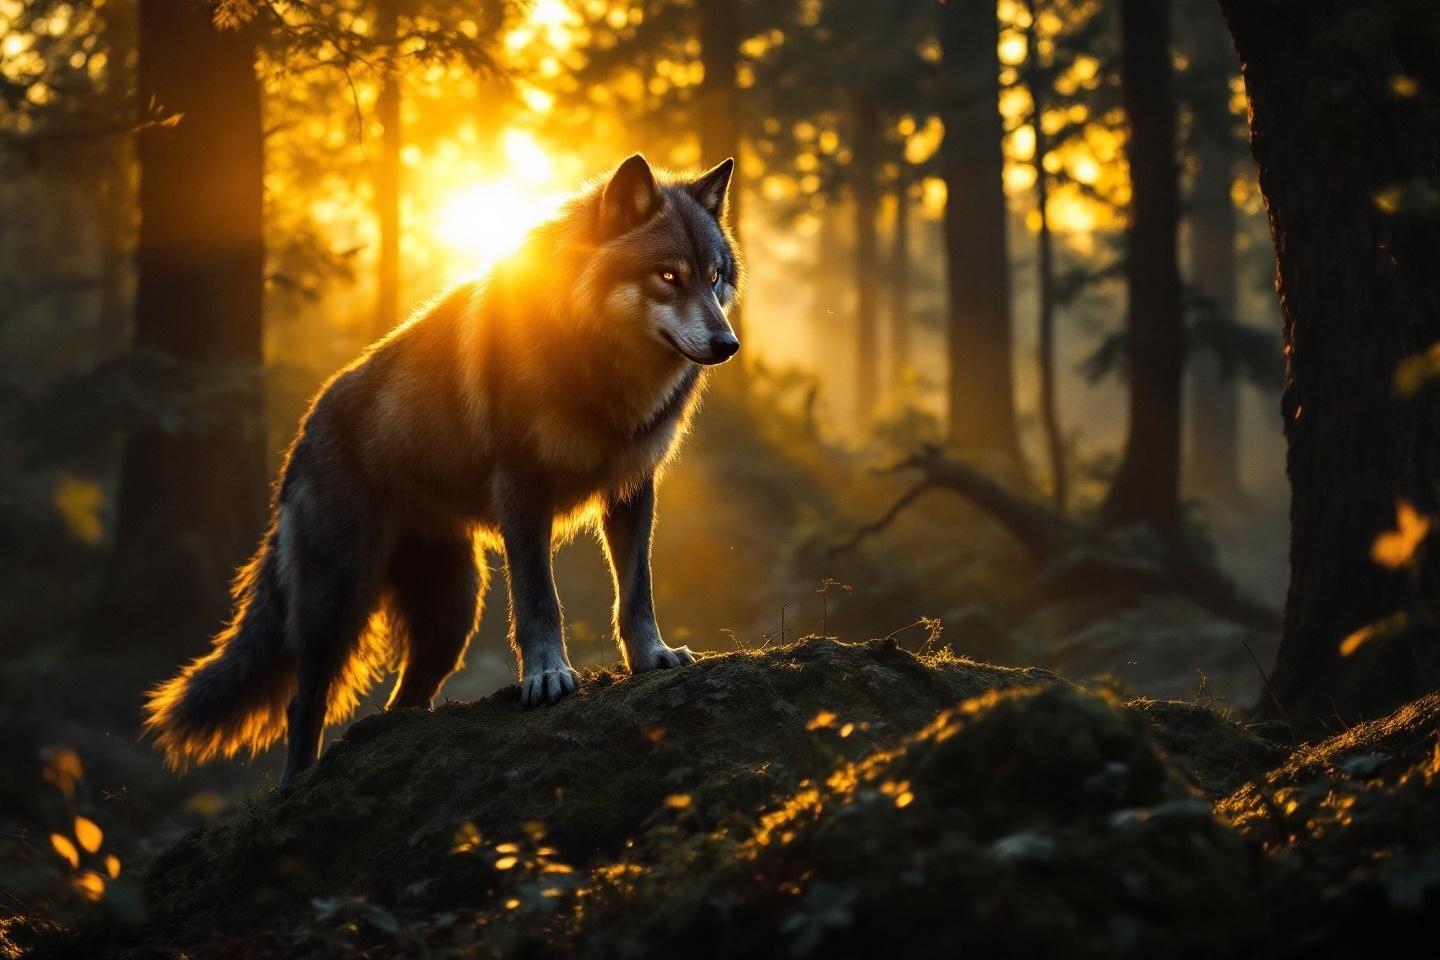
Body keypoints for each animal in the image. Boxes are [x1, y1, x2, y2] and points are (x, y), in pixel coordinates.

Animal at [144, 154, 742, 784]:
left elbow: (636, 590)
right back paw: (296, 785)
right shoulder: (522, 492)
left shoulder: (632, 490)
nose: (728, 343)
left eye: (713, 277)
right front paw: (547, 677)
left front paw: (651, 656)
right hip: (340, 602)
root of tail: (302, 433)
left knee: (400, 701)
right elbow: (539, 600)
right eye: (668, 276)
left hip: (453, 615)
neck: (601, 367)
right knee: (303, 703)